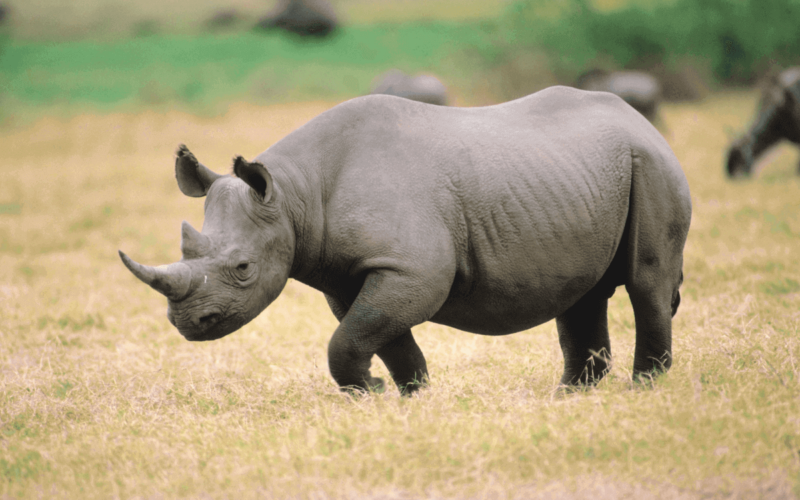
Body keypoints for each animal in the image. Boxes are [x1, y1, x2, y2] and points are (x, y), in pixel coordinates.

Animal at [120, 87, 692, 398]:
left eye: (242, 268)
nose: (189, 324)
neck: (294, 195)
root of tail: (638, 117)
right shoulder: (351, 276)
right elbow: (377, 336)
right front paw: (410, 398)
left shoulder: (412, 269)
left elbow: (351, 337)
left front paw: (372, 393)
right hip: (589, 174)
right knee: (582, 293)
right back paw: (569, 397)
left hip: (652, 163)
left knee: (647, 282)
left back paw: (645, 389)